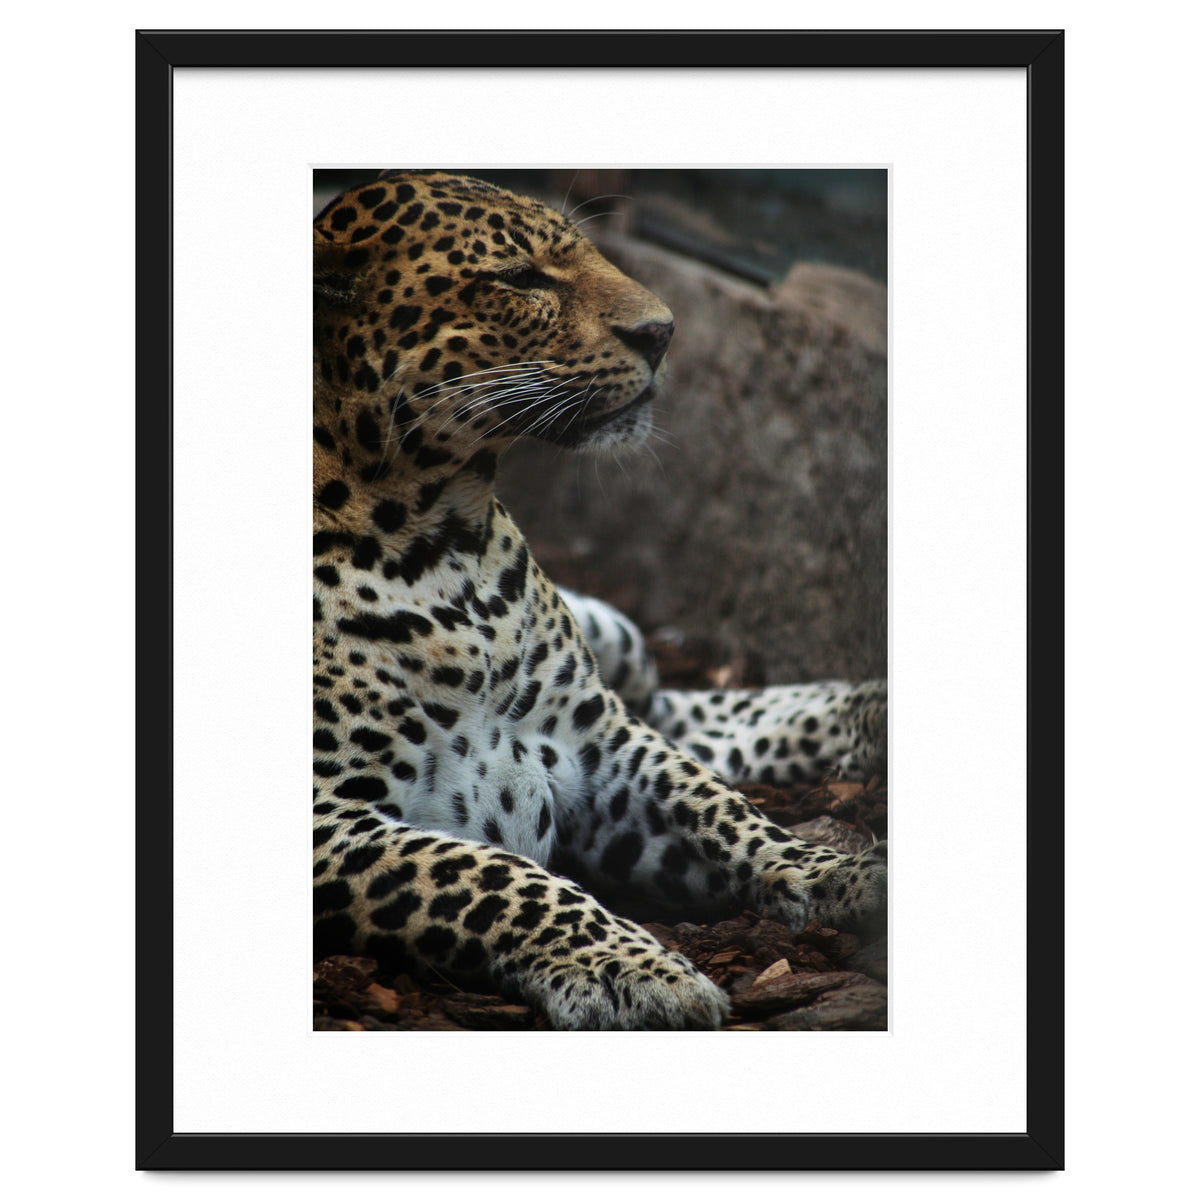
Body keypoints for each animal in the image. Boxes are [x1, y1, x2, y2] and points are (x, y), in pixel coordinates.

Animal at [313, 170, 887, 1030]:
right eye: (519, 278)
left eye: (583, 252)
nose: (663, 332)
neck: (444, 542)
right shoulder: (328, 821)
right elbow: (493, 877)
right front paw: (634, 969)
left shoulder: (598, 742)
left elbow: (720, 808)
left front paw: (840, 874)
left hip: (619, 650)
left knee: (678, 711)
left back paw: (869, 710)